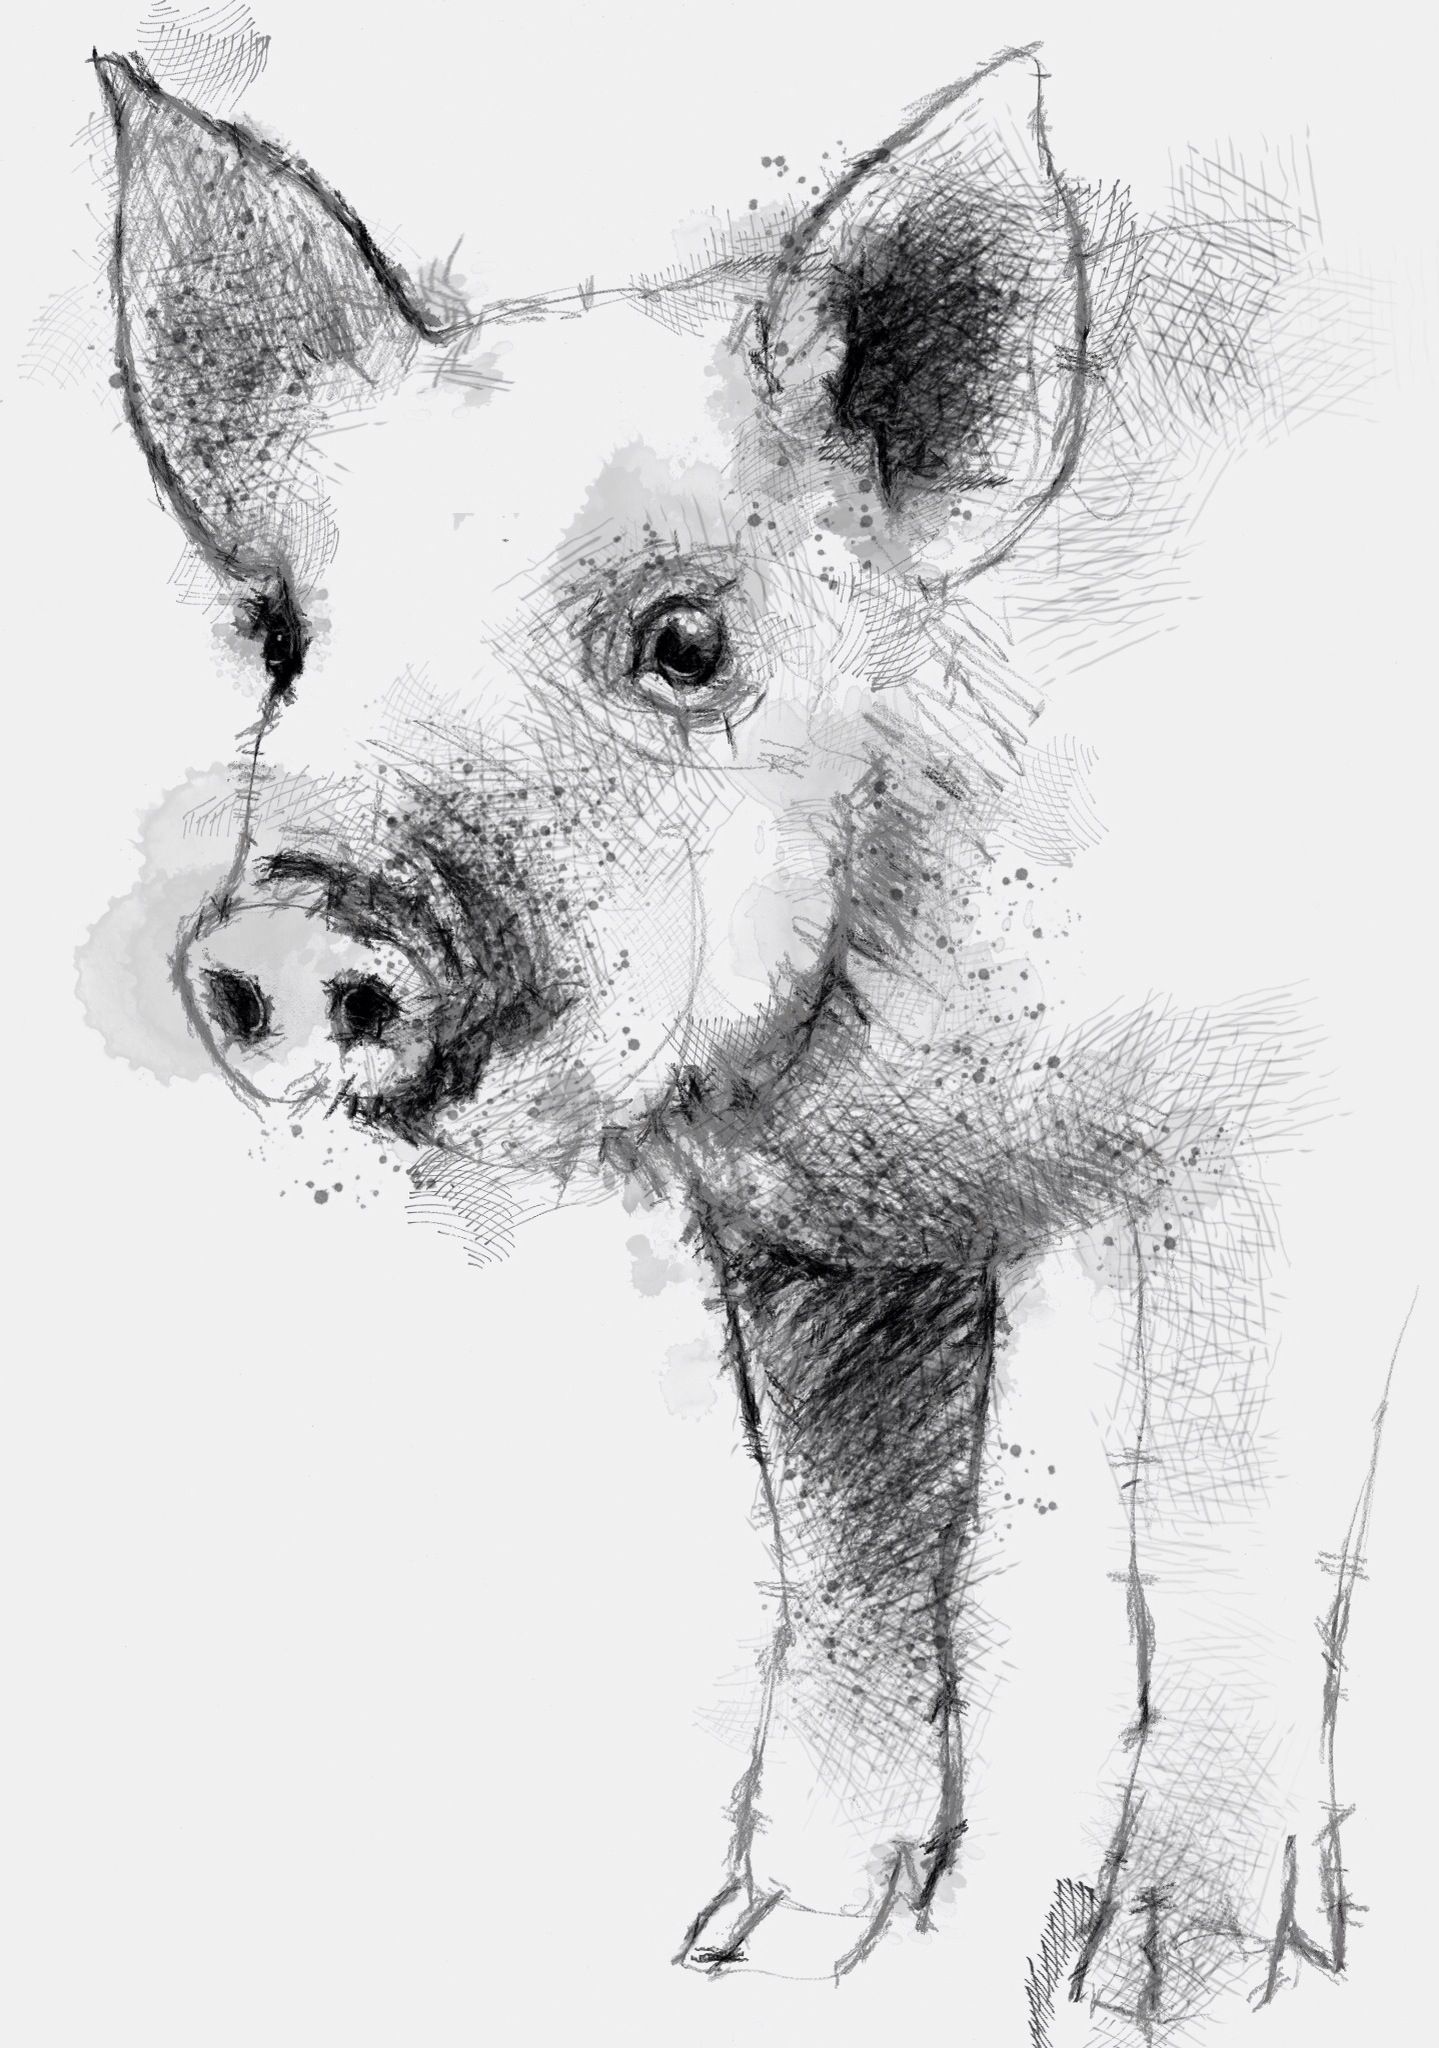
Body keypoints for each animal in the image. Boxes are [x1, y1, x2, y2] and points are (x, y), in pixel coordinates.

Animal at [86, 39, 1400, 2034]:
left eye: (685, 640)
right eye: (280, 639)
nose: (283, 937)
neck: (926, 1077)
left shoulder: (1280, 1129)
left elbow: (1217, 1531)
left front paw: (1150, 1985)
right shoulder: (821, 1240)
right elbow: (846, 1550)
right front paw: (756, 1945)